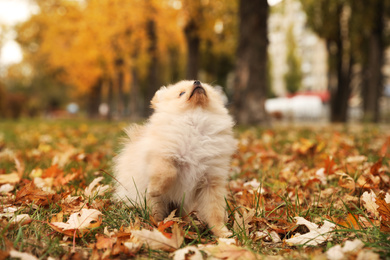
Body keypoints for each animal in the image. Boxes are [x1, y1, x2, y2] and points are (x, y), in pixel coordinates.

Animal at [111, 80, 236, 237]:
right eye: (181, 93)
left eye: (205, 88)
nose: (197, 81)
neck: (196, 122)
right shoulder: (163, 156)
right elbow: (168, 172)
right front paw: (155, 189)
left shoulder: (211, 181)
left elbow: (215, 212)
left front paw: (222, 232)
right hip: (153, 202)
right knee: (154, 212)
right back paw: (157, 225)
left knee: (182, 214)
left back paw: (189, 223)